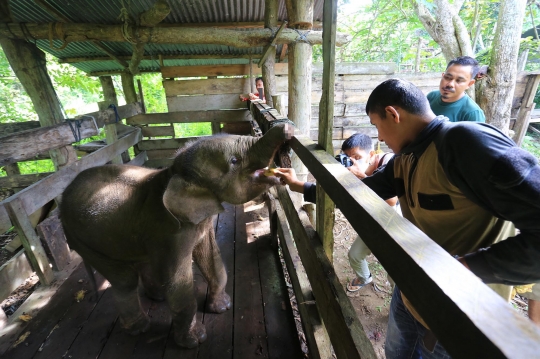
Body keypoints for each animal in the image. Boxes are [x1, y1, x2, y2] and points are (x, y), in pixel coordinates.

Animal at [60, 124, 294, 348]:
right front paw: (194, 340)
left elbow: (211, 257)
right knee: (124, 281)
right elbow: (178, 280)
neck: (173, 173)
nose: (287, 128)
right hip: (83, 239)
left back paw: (158, 297)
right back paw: (139, 328)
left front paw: (223, 307)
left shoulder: (198, 223)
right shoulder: (169, 231)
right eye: (234, 161)